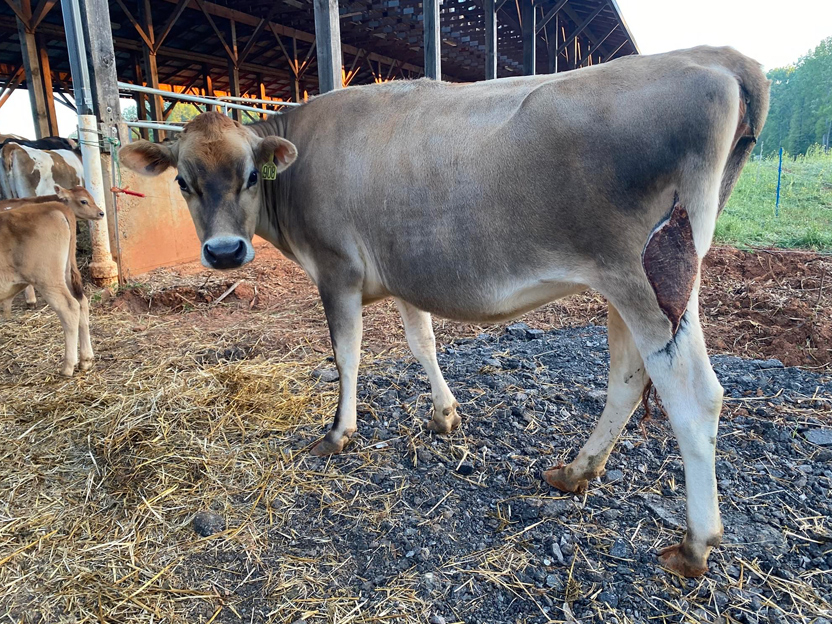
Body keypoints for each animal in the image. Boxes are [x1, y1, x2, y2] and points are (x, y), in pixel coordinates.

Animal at [0, 183, 105, 372]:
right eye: (84, 201)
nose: (101, 213)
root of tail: (54, 207)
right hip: (66, 274)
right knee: (82, 302)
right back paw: (86, 360)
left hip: (48, 279)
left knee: (69, 307)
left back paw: (68, 366)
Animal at [120, 46, 772, 576]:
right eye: (182, 182)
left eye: (252, 175)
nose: (224, 252)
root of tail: (715, 56)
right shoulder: (406, 273)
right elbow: (421, 343)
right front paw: (443, 415)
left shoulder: (337, 270)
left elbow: (346, 355)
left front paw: (338, 433)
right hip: (630, 287)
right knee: (629, 379)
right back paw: (575, 473)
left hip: (647, 280)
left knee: (695, 395)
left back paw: (694, 545)